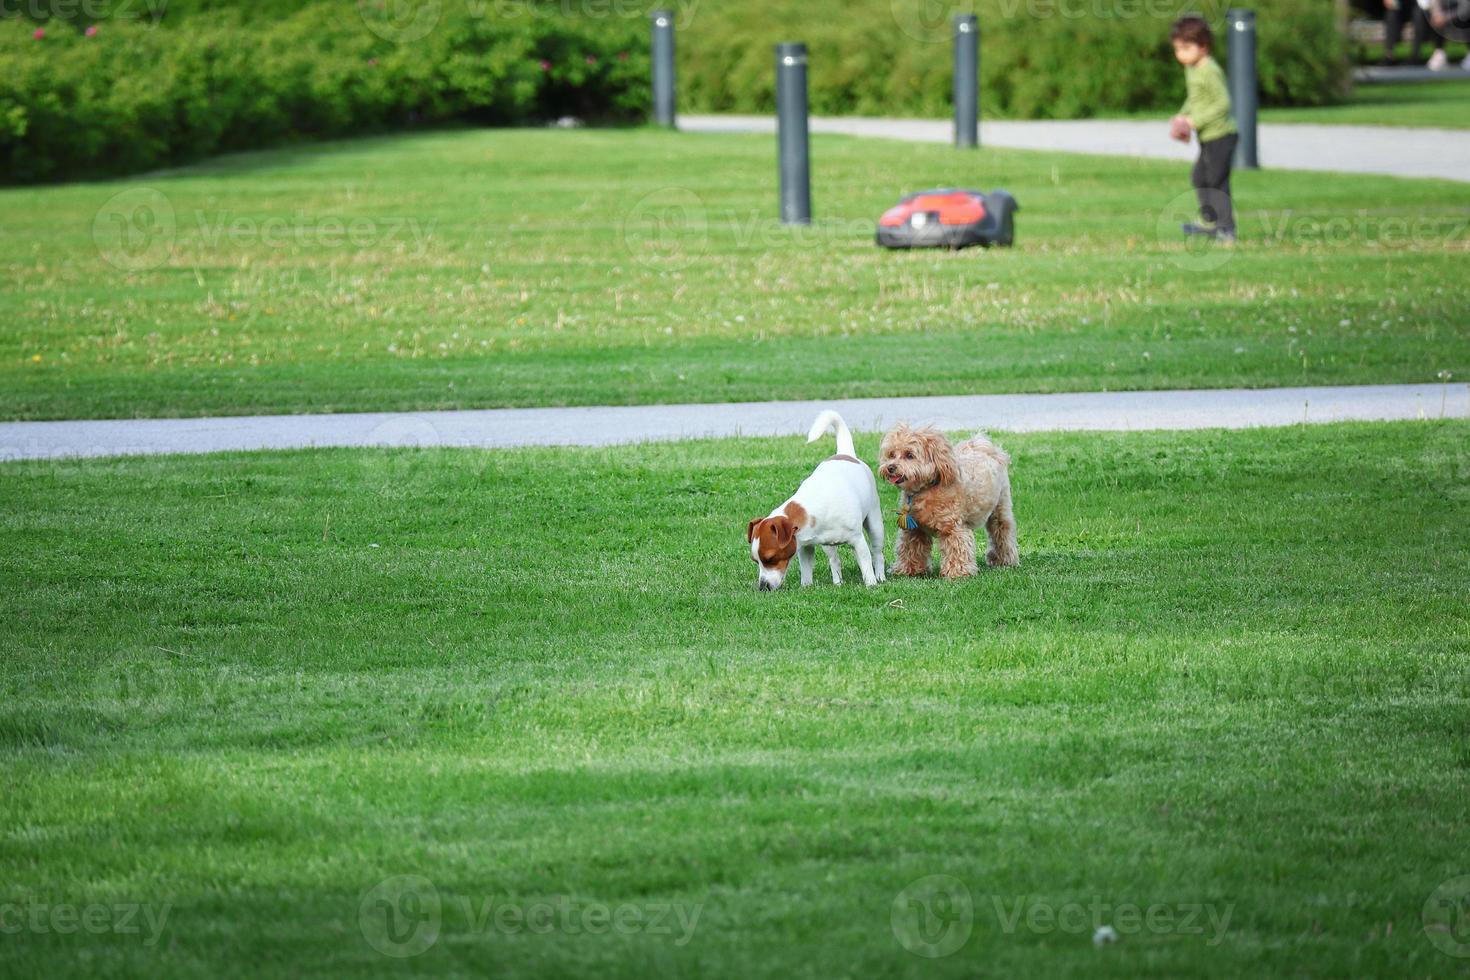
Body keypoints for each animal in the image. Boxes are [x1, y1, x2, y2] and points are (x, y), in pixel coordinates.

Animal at [746, 408, 882, 590]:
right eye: (756, 561)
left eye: (770, 558)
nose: (763, 587)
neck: (811, 509)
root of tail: (845, 453)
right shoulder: (805, 545)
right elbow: (806, 569)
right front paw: (806, 587)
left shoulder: (857, 540)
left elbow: (866, 565)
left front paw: (871, 584)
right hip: (828, 545)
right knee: (834, 560)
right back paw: (837, 582)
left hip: (875, 522)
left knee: (877, 552)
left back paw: (881, 576)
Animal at [876, 426, 1017, 578]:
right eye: (891, 454)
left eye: (909, 455)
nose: (890, 467)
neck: (927, 488)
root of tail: (984, 447)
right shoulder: (914, 530)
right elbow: (909, 549)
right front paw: (907, 570)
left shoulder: (953, 528)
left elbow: (956, 549)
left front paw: (957, 573)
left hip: (1000, 508)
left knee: (1002, 532)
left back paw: (1005, 560)